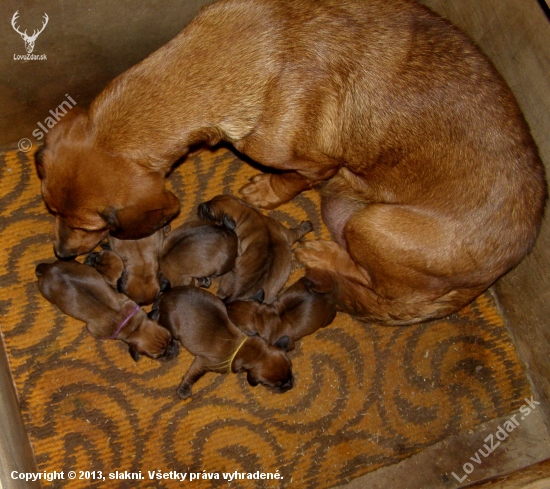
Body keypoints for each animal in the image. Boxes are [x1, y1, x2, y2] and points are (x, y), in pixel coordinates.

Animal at [34, 1, 548, 326]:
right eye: (51, 210)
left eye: (91, 225)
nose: (60, 253)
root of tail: (494, 272)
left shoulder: (315, 166)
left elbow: (288, 181)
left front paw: (263, 192)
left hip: (372, 224)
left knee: (371, 280)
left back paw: (320, 253)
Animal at [35, 260, 178, 358]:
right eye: (159, 356)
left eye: (170, 338)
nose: (175, 351)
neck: (133, 326)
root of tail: (49, 269)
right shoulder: (94, 330)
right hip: (45, 291)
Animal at [153, 286, 296, 396]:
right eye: (275, 385)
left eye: (291, 370)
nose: (290, 385)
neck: (245, 349)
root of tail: (163, 296)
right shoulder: (202, 363)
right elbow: (192, 375)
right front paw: (183, 390)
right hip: (171, 326)